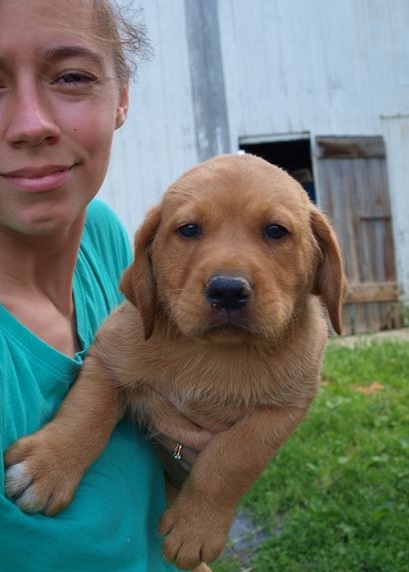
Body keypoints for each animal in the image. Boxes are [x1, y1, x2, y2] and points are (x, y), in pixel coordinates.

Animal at [4, 154, 346, 568]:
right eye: (189, 230)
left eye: (276, 231)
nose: (227, 290)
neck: (214, 353)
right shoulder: (107, 361)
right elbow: (86, 413)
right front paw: (47, 467)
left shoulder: (282, 412)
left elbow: (230, 461)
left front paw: (195, 528)